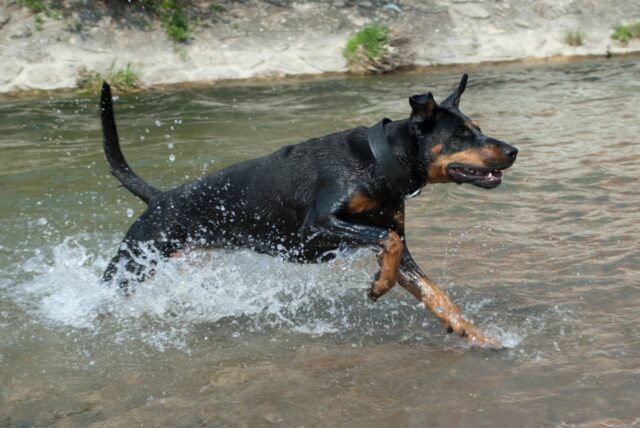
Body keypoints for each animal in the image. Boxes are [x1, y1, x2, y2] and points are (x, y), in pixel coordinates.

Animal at [101, 75, 520, 346]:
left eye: (478, 127)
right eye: (461, 136)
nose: (513, 150)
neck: (379, 163)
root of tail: (159, 198)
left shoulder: (397, 243)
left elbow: (434, 292)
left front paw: (477, 335)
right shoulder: (317, 227)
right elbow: (387, 241)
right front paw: (378, 286)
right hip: (131, 263)